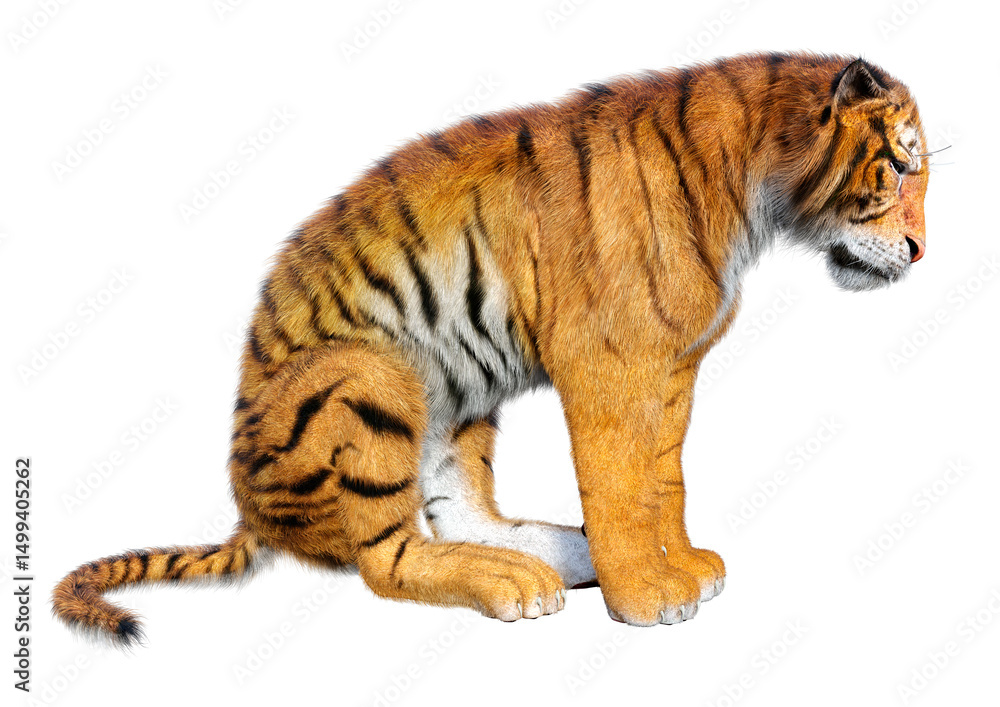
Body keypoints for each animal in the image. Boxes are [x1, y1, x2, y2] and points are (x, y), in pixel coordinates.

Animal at [53, 51, 929, 643]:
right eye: (899, 165)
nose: (921, 252)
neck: (757, 190)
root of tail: (248, 510)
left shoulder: (674, 368)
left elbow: (663, 481)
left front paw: (683, 564)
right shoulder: (609, 365)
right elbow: (618, 486)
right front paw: (647, 597)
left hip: (457, 389)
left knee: (455, 511)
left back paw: (550, 556)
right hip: (373, 371)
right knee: (386, 556)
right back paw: (519, 579)